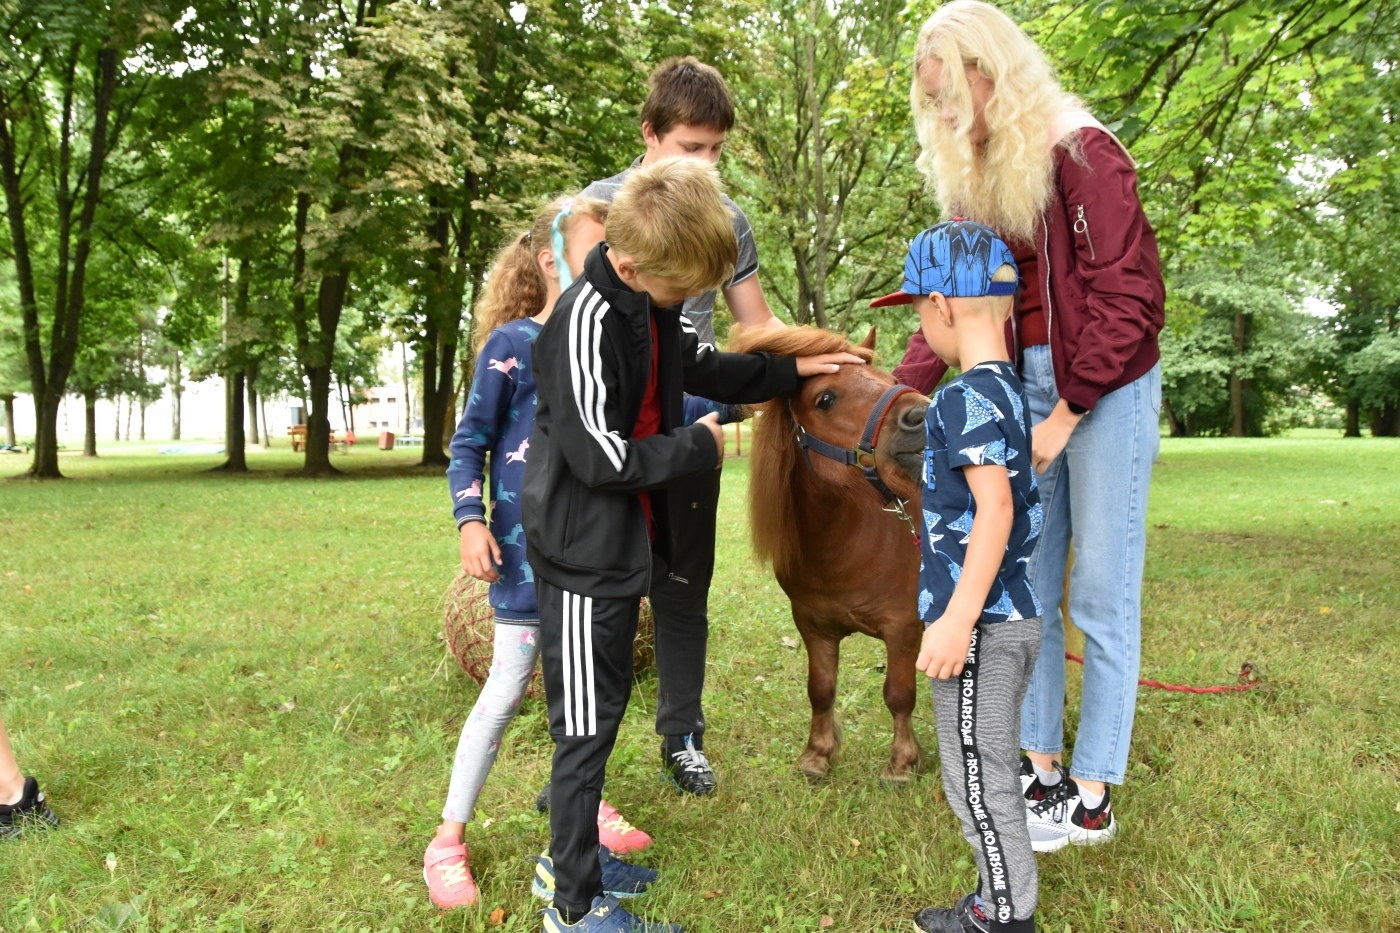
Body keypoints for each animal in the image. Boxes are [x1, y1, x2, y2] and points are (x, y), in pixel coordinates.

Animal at [733, 323, 929, 778]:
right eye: (825, 398)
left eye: (889, 379)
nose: (923, 414)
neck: (844, 541)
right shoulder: (812, 624)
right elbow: (820, 689)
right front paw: (817, 754)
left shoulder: (904, 628)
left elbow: (899, 693)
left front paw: (901, 762)